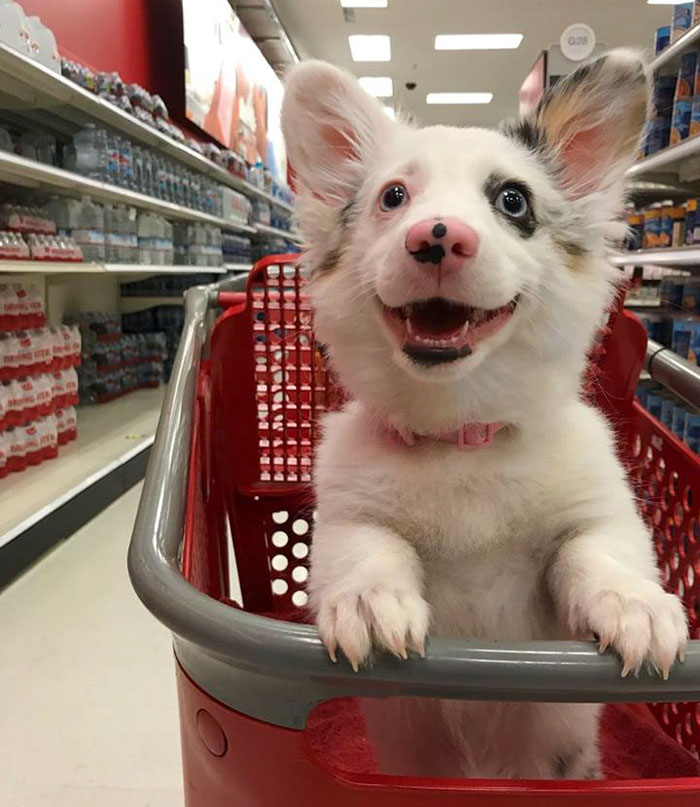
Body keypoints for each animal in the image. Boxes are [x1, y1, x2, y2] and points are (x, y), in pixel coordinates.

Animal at [278, 50, 684, 784]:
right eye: (393, 198)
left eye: (513, 201)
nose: (437, 236)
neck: (459, 436)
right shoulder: (345, 519)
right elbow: (368, 547)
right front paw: (370, 599)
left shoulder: (597, 516)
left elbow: (596, 552)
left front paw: (634, 603)